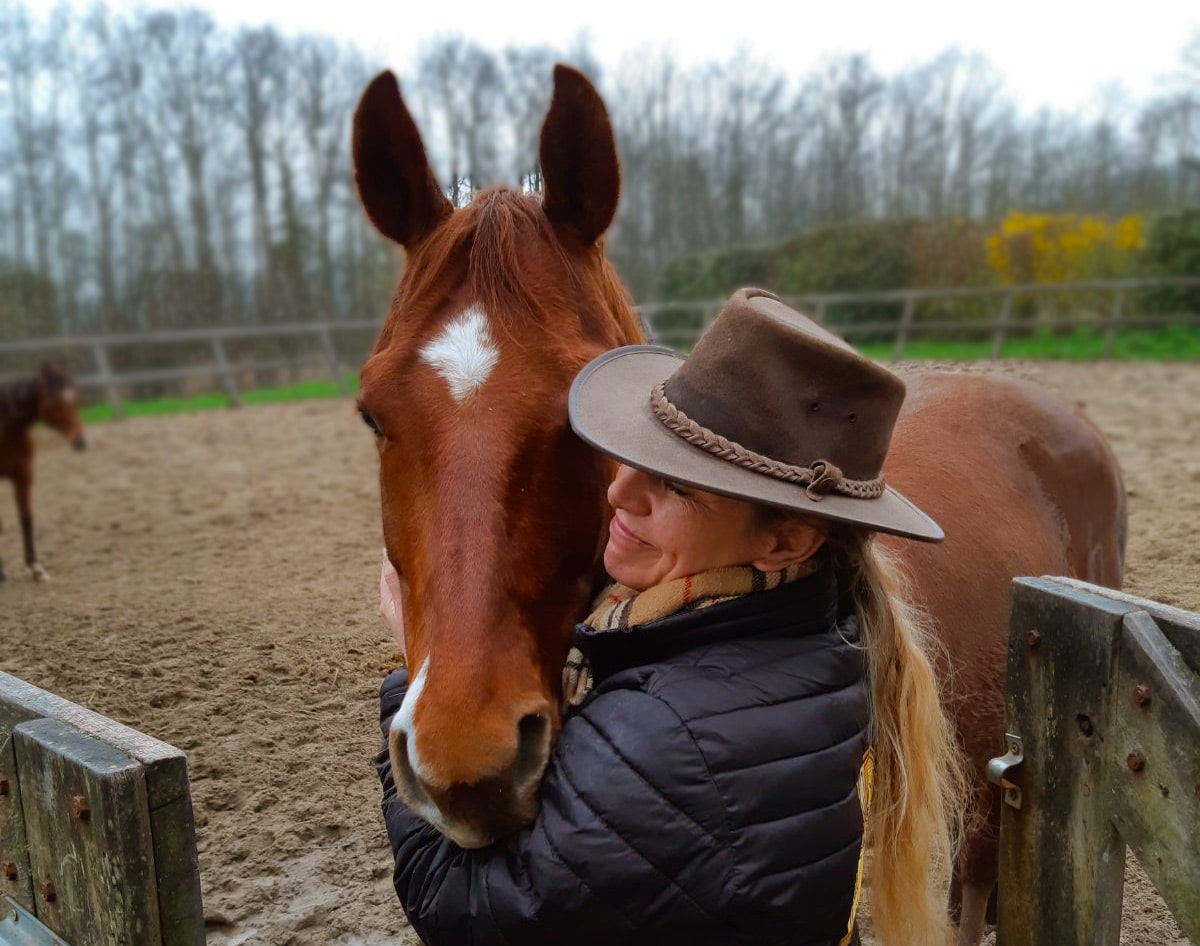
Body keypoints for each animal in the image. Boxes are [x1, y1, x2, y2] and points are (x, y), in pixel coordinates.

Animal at [0, 362, 88, 584]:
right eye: (51, 402)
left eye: (77, 397)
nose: (81, 441)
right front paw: (1, 574)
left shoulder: (23, 477)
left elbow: (26, 519)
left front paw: (36, 568)